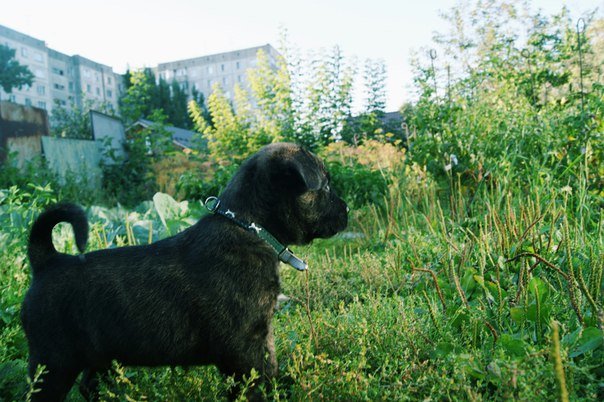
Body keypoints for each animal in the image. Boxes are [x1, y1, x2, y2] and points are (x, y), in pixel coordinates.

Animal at [21, 143, 350, 400]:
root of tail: (48, 261)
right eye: (326, 186)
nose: (346, 210)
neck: (248, 227)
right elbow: (255, 384)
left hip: (97, 356)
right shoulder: (244, 347)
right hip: (53, 363)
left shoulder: (258, 339)